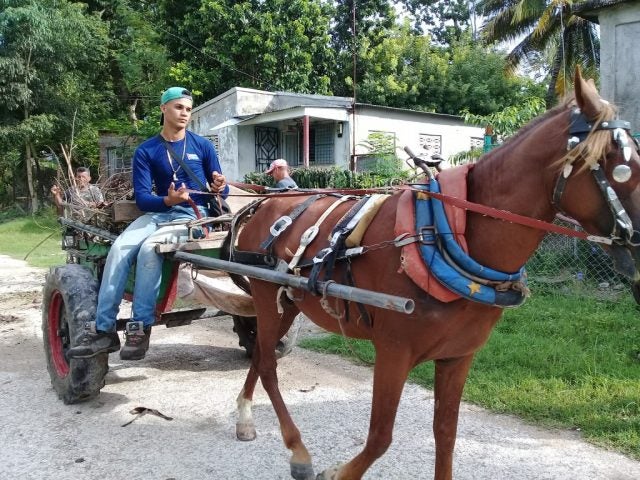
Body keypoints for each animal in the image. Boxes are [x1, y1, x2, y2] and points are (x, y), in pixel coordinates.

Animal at [228, 68, 640, 480]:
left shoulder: (458, 356)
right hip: (265, 294)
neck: (446, 238)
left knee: (262, 355)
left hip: (287, 301)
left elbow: (445, 433)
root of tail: (260, 204)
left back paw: (245, 415)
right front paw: (338, 472)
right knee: (268, 364)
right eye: (622, 169)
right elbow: (380, 437)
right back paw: (297, 450)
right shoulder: (393, 351)